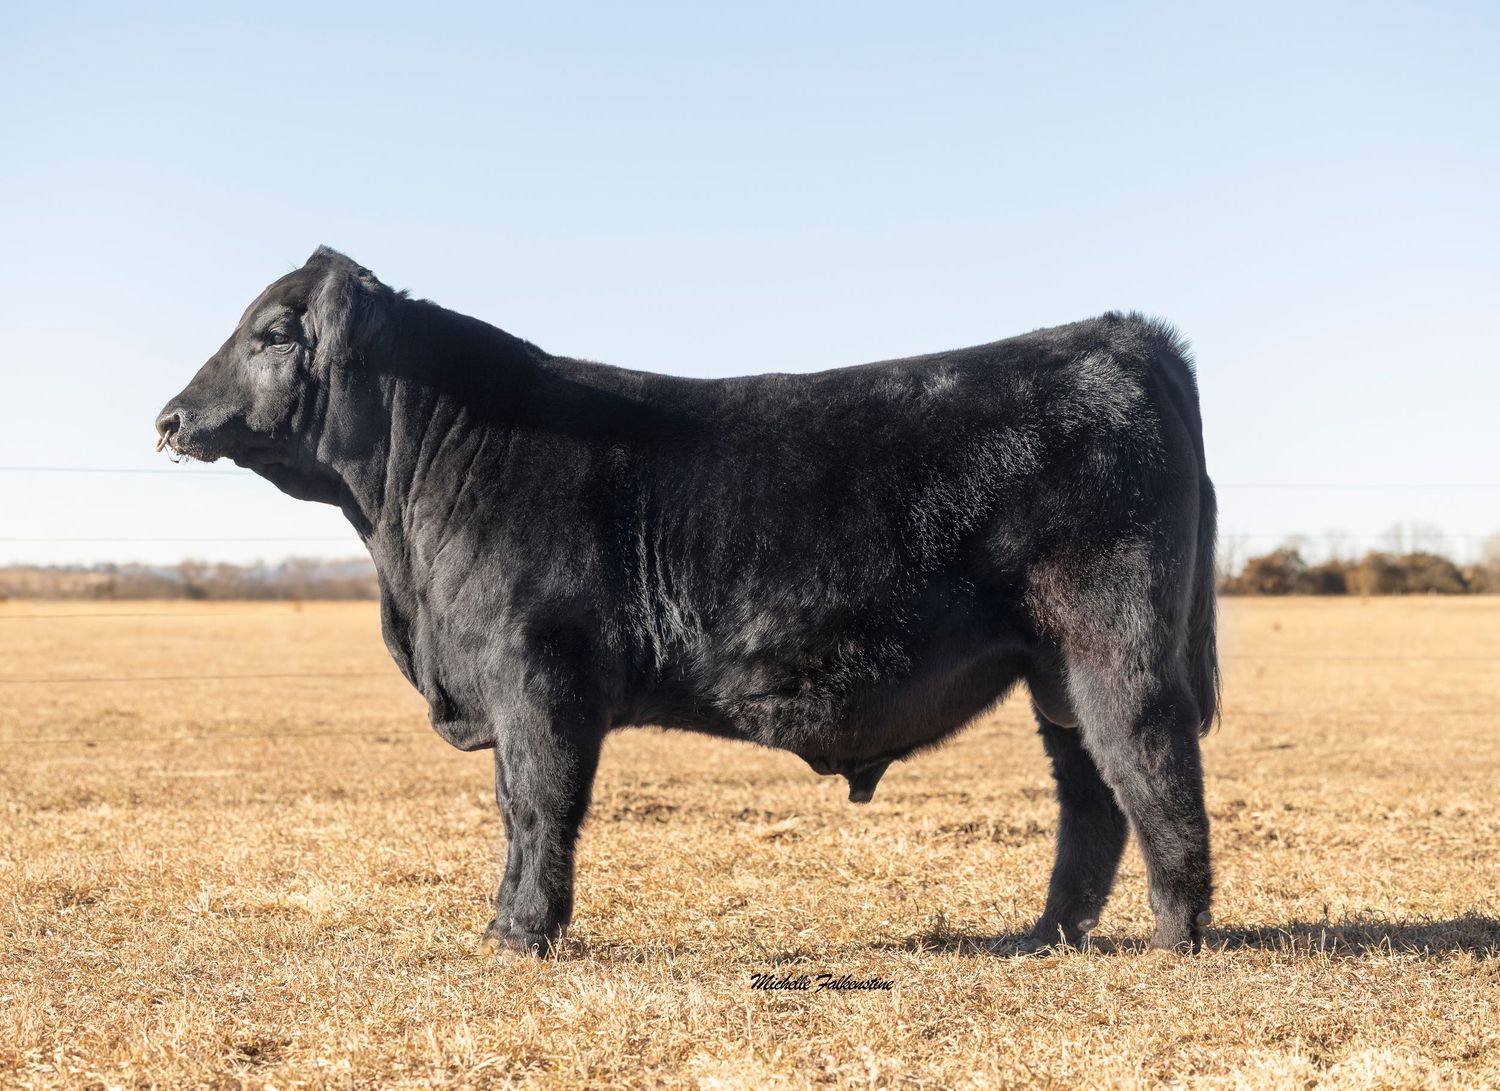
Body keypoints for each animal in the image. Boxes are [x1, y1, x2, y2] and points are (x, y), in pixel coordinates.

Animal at [155, 247, 1219, 955]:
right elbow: (512, 805)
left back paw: (1178, 933)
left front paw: (523, 935)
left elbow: (537, 802)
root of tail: (1117, 335)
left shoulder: (537, 675)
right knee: (1091, 792)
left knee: (1151, 767)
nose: (170, 416)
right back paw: (1049, 932)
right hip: (1053, 671)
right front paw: (503, 924)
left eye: (273, 332)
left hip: (1114, 645)